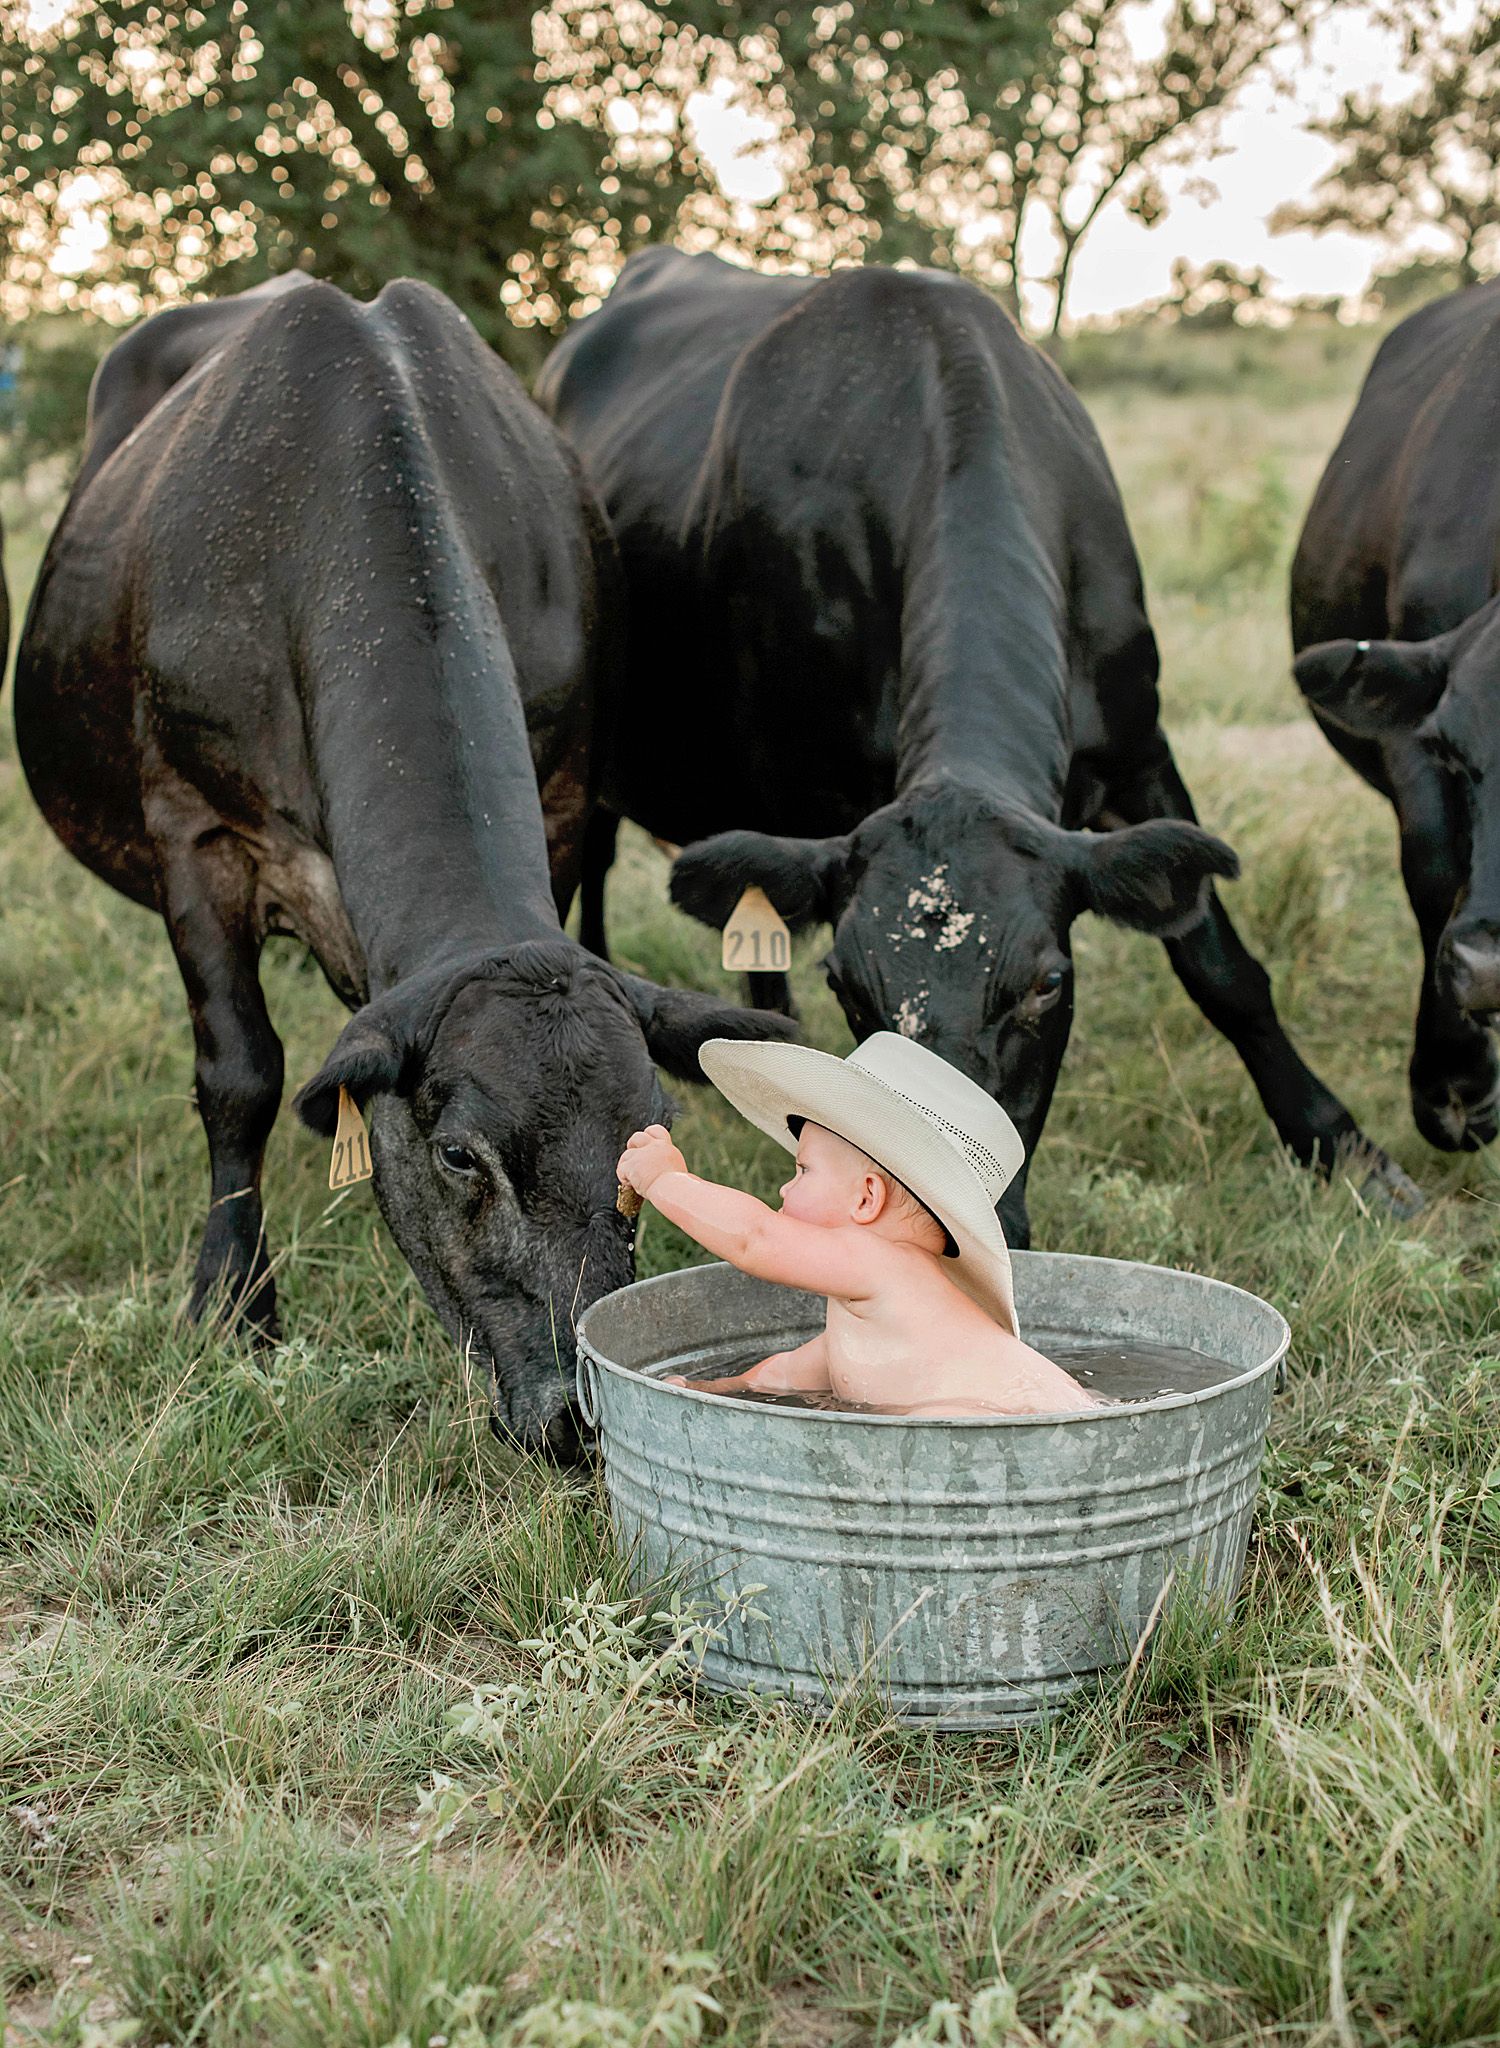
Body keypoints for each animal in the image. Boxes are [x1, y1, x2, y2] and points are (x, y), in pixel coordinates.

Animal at [13, 273, 789, 1462]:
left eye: (646, 1145)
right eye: (462, 1157)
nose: (579, 1418)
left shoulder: (567, 803)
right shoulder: (193, 832)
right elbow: (239, 1074)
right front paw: (233, 1304)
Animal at [538, 248, 1417, 1242]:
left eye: (1046, 984)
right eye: (851, 988)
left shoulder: (1140, 751)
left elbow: (1220, 967)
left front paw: (1345, 1147)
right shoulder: (799, 794)